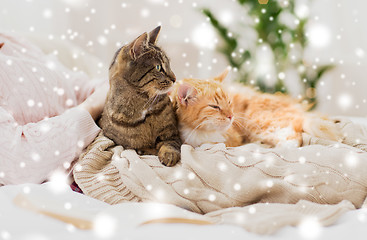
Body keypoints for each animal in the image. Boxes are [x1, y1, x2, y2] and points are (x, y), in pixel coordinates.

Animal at [100, 25, 182, 165]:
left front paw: (168, 155)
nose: (174, 79)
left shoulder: (172, 133)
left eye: (169, 64)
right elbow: (139, 148)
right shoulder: (117, 143)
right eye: (159, 68)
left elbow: (170, 144)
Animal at [171, 68, 340, 148]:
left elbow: (213, 144)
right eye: (215, 106)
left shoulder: (233, 139)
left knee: (293, 134)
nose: (231, 116)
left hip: (259, 120)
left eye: (229, 102)